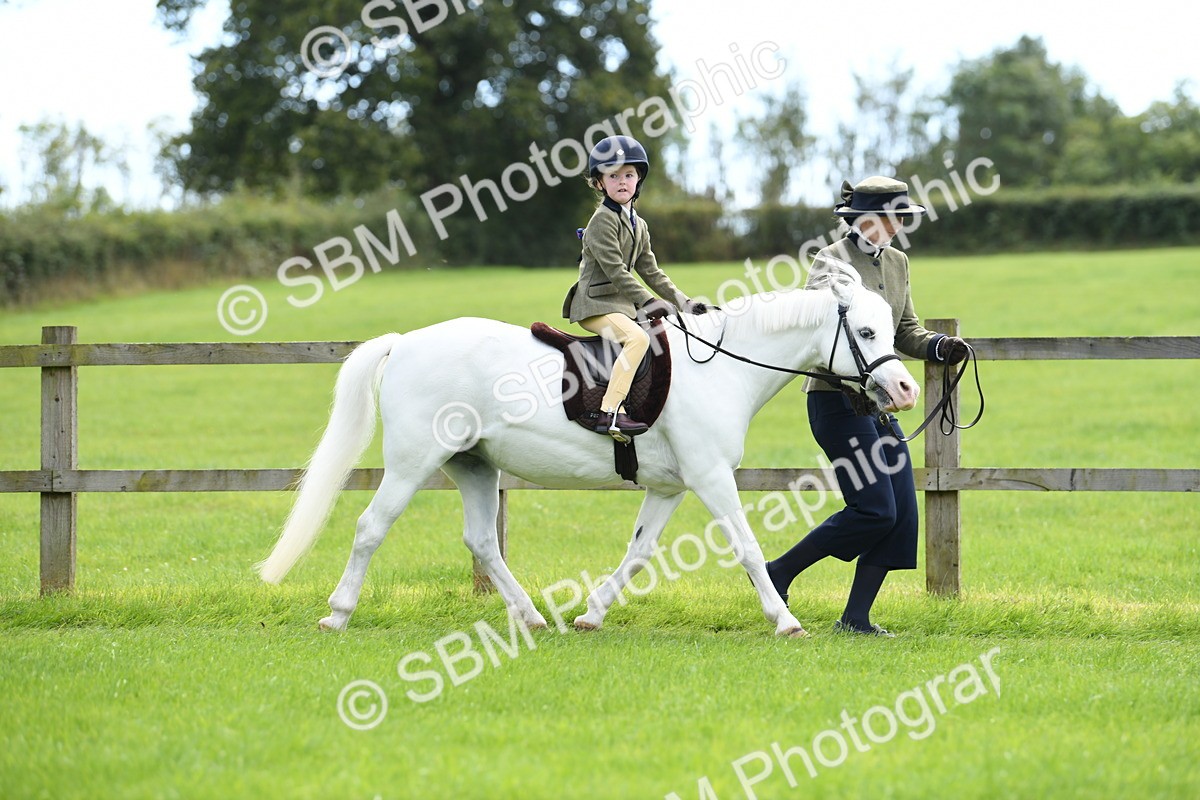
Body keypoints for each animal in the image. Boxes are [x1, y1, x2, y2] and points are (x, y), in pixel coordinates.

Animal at [257, 269, 918, 637]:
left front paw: (591, 615)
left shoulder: (669, 487)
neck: (722, 365)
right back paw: (337, 613)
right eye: (864, 333)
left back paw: (530, 617)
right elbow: (749, 548)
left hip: (474, 465)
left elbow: (638, 554)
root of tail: (405, 343)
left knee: (482, 542)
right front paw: (785, 620)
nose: (906, 389)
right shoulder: (710, 478)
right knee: (371, 527)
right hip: (412, 464)